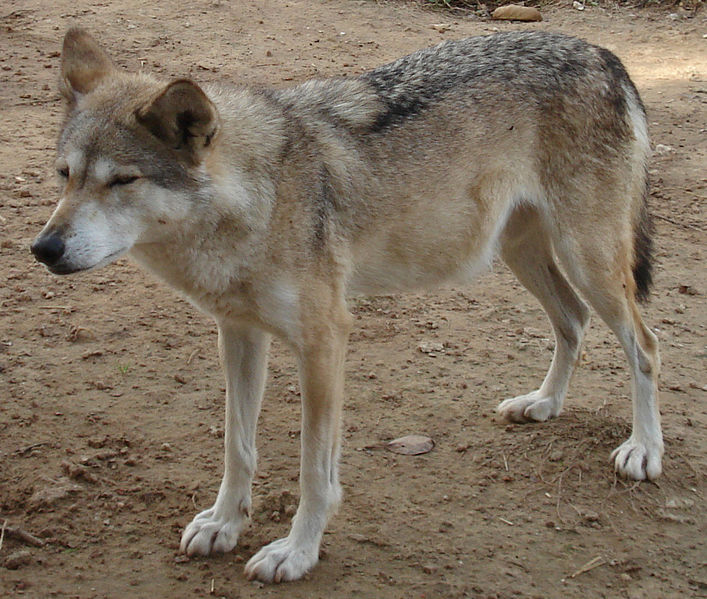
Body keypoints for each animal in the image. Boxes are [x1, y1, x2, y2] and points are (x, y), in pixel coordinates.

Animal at [31, 27, 664, 580]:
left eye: (123, 181)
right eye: (65, 176)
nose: (43, 248)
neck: (258, 196)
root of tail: (603, 54)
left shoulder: (324, 340)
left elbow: (314, 470)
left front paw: (295, 553)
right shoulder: (238, 333)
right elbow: (238, 447)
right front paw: (224, 524)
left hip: (589, 260)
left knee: (646, 345)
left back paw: (642, 450)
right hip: (522, 253)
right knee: (573, 320)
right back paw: (543, 404)